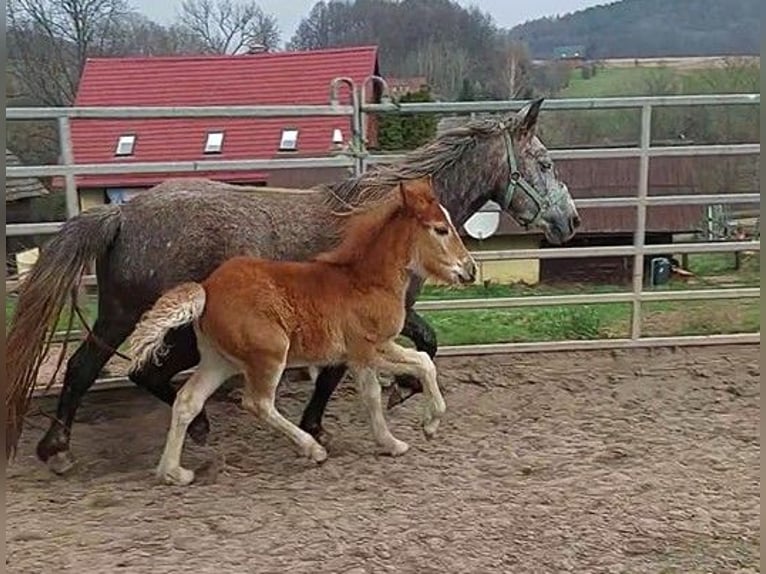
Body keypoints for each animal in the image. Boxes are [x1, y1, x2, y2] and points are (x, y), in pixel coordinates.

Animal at [126, 176, 474, 486]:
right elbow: (422, 364)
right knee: (258, 403)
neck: (365, 281)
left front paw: (393, 444)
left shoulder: (360, 356)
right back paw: (312, 449)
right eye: (441, 229)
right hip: (269, 354)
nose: (469, 269)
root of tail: (206, 289)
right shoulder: (370, 348)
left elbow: (374, 394)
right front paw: (429, 425)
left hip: (218, 361)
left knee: (188, 401)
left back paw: (173, 473)